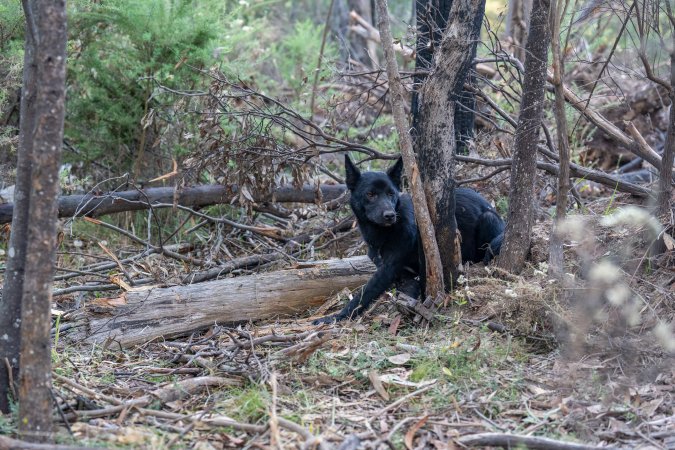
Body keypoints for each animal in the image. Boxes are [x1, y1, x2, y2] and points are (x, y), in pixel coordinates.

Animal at [314, 156, 504, 324]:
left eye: (391, 193)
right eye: (370, 194)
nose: (390, 215)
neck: (384, 233)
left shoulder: (389, 269)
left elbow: (363, 295)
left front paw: (334, 317)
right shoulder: (400, 275)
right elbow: (406, 291)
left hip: (488, 219)